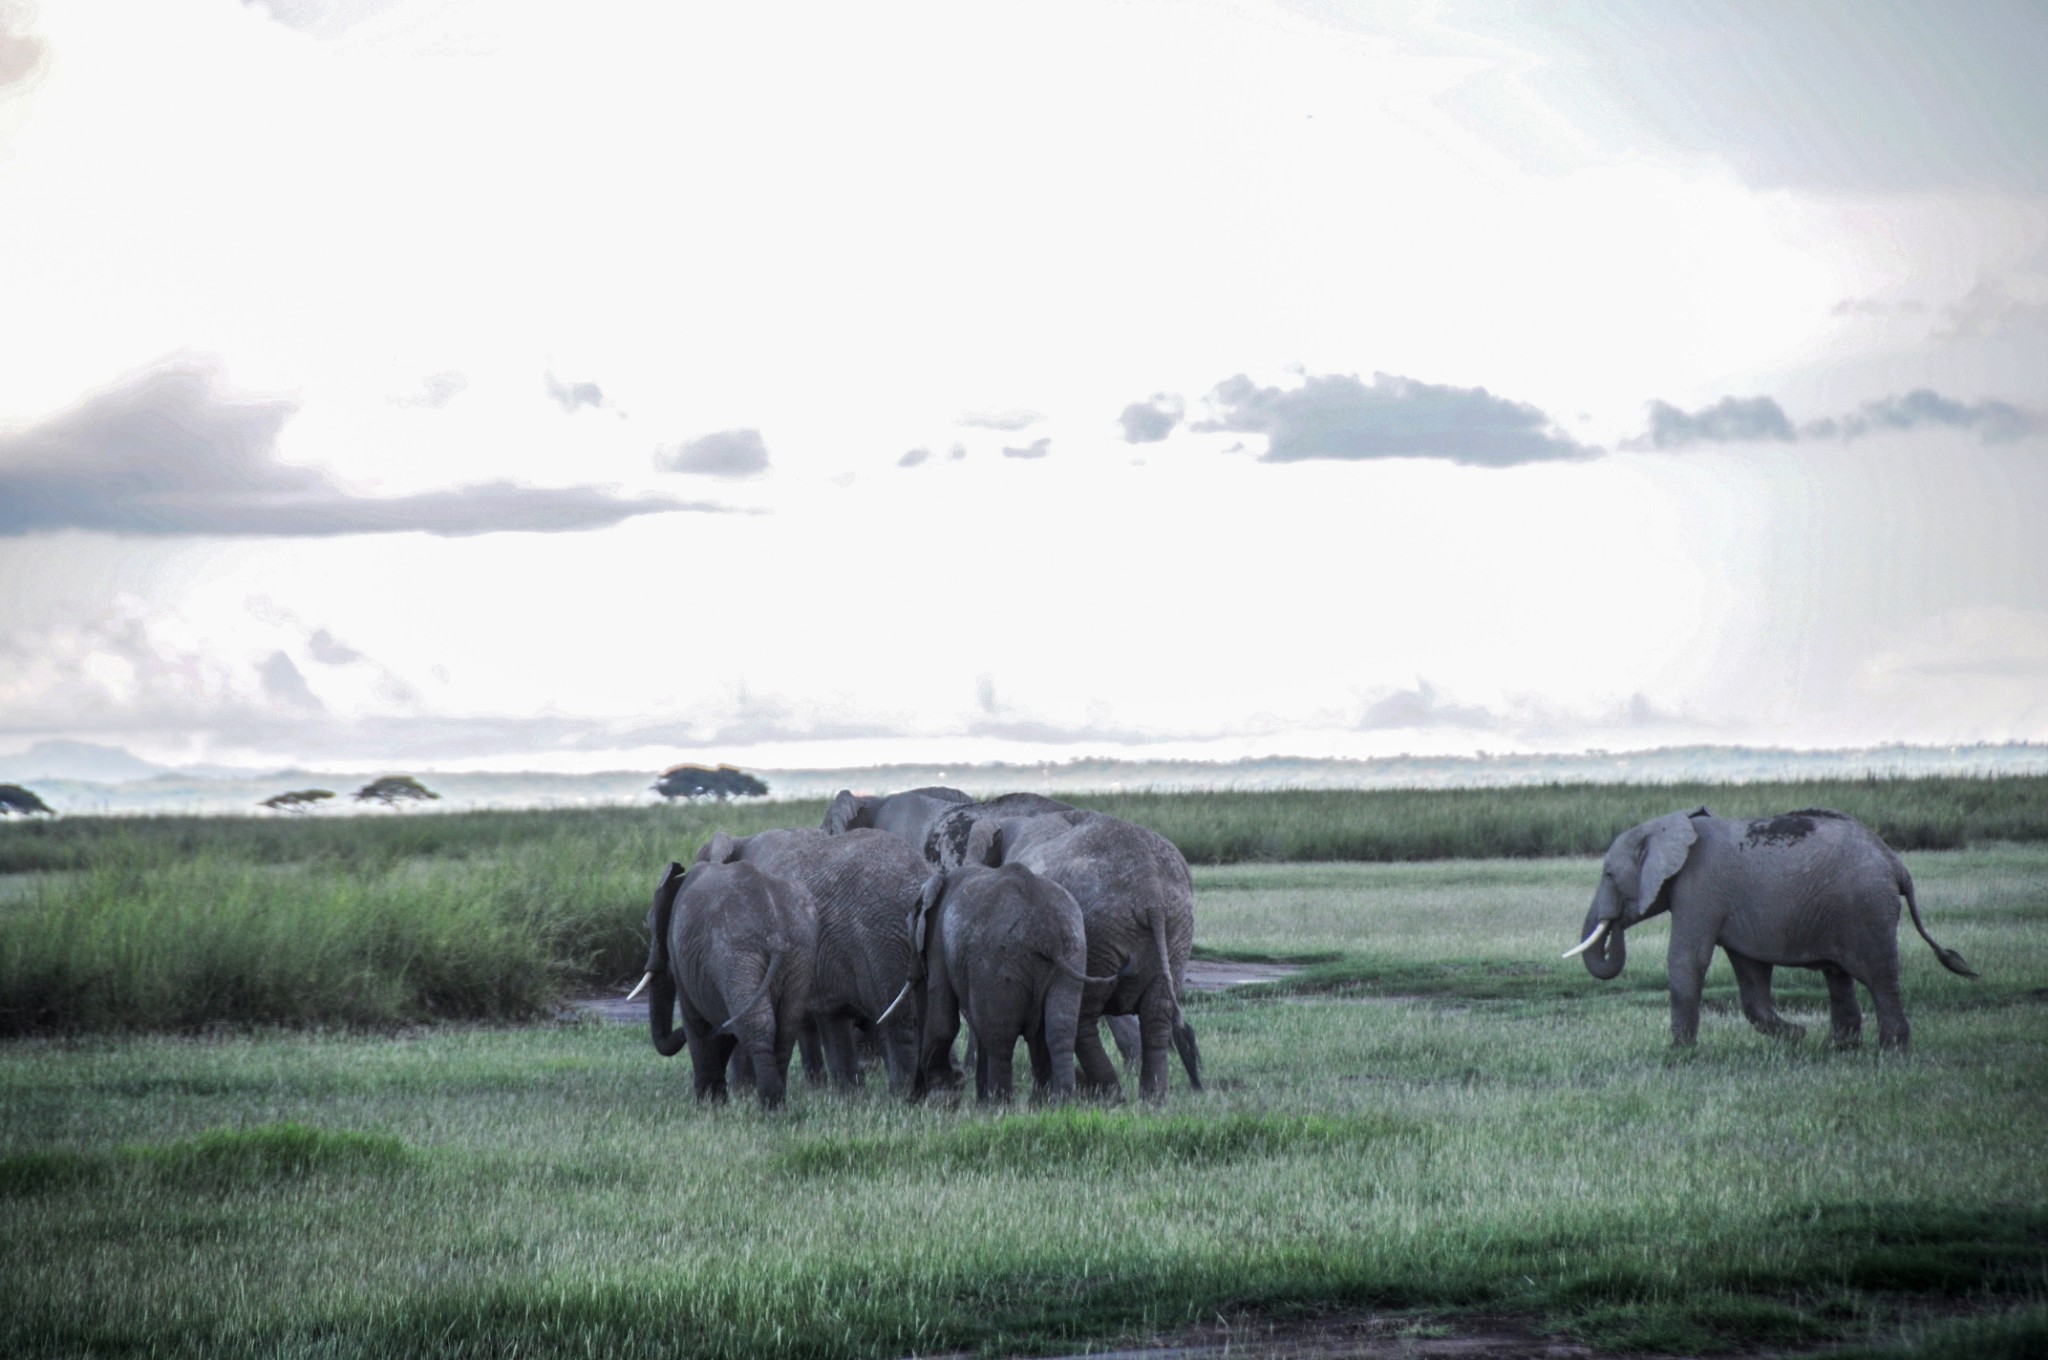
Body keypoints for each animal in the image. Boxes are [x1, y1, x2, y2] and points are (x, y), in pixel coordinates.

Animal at [630, 827, 815, 1106]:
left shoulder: (681, 953)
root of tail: (776, 934)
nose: (678, 1034)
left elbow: (696, 1020)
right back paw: (778, 1102)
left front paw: (708, 1102)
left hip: (737, 955)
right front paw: (716, 1099)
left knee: (754, 1023)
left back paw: (769, 1104)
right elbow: (723, 1027)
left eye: (650, 924)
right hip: (798, 953)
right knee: (785, 1026)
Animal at [696, 823, 937, 1097]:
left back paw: (903, 1094)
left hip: (882, 938)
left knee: (897, 1018)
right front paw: (845, 1094)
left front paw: (741, 1092)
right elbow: (830, 1016)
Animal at [1556, 806, 1974, 1048]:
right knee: (1839, 977)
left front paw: (1678, 1054)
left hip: (1867, 907)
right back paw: (1838, 1048)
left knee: (1879, 977)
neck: (1668, 825)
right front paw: (1796, 1036)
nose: (1616, 922)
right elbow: (1750, 972)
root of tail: (1896, 863)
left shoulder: (1699, 888)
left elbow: (1687, 960)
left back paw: (1890, 1051)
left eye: (1608, 875)